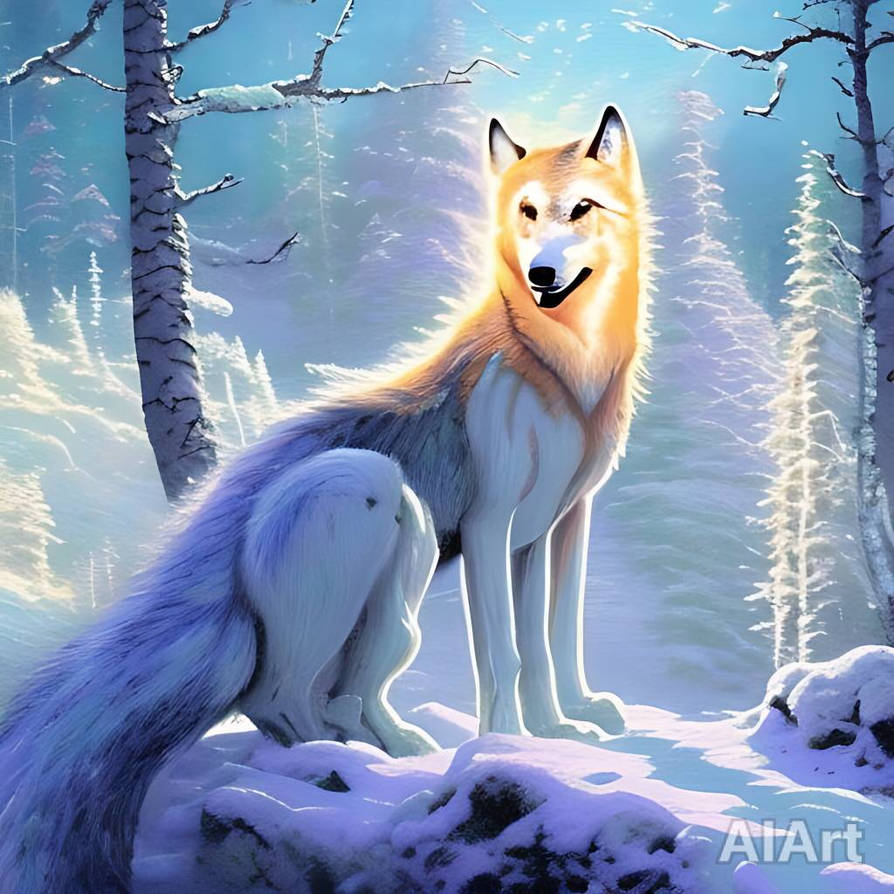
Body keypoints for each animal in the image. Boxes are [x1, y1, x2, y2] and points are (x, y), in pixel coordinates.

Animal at [0, 103, 649, 892]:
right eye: (526, 212)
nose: (541, 274)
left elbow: (554, 639)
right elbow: (506, 655)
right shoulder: (493, 526)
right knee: (279, 698)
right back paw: (345, 766)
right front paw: (507, 741)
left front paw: (562, 728)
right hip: (374, 500)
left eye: (580, 209)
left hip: (399, 573)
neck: (565, 373)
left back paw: (394, 748)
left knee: (333, 697)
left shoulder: (560, 524)